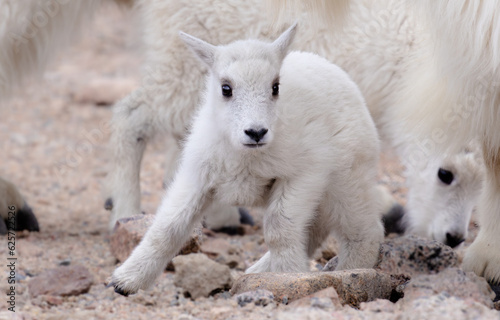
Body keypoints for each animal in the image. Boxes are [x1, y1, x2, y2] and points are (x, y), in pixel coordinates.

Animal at [110, 24, 382, 296]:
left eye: (275, 86)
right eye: (226, 88)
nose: (256, 132)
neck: (244, 154)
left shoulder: (305, 174)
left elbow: (279, 229)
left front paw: (288, 276)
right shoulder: (198, 176)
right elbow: (167, 226)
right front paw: (125, 280)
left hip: (346, 183)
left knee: (365, 232)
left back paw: (349, 271)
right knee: (315, 230)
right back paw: (256, 271)